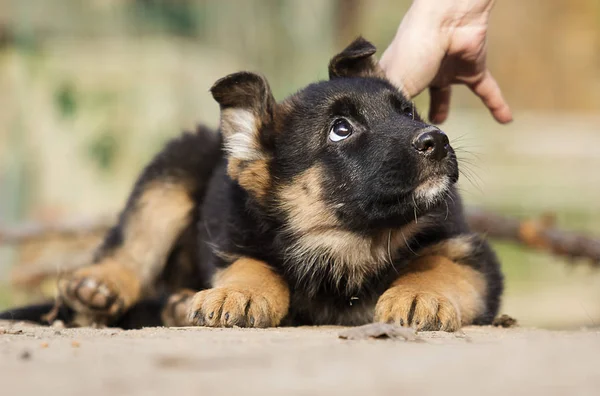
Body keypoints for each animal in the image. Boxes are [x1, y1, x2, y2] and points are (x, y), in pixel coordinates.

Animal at [2, 38, 504, 332]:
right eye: (340, 129)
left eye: (409, 112)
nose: (437, 141)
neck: (348, 240)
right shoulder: (234, 240)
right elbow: (254, 266)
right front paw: (238, 293)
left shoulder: (470, 252)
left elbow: (437, 266)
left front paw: (420, 294)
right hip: (173, 171)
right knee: (133, 245)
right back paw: (99, 288)